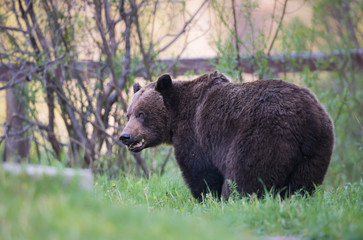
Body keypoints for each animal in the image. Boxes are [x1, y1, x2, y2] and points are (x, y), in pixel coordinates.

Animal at [120, 72, 336, 200]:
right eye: (128, 114)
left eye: (141, 114)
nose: (125, 136)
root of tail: (307, 117)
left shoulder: (195, 135)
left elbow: (199, 169)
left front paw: (207, 197)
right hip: (315, 151)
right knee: (303, 184)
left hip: (262, 135)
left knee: (245, 174)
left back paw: (234, 199)